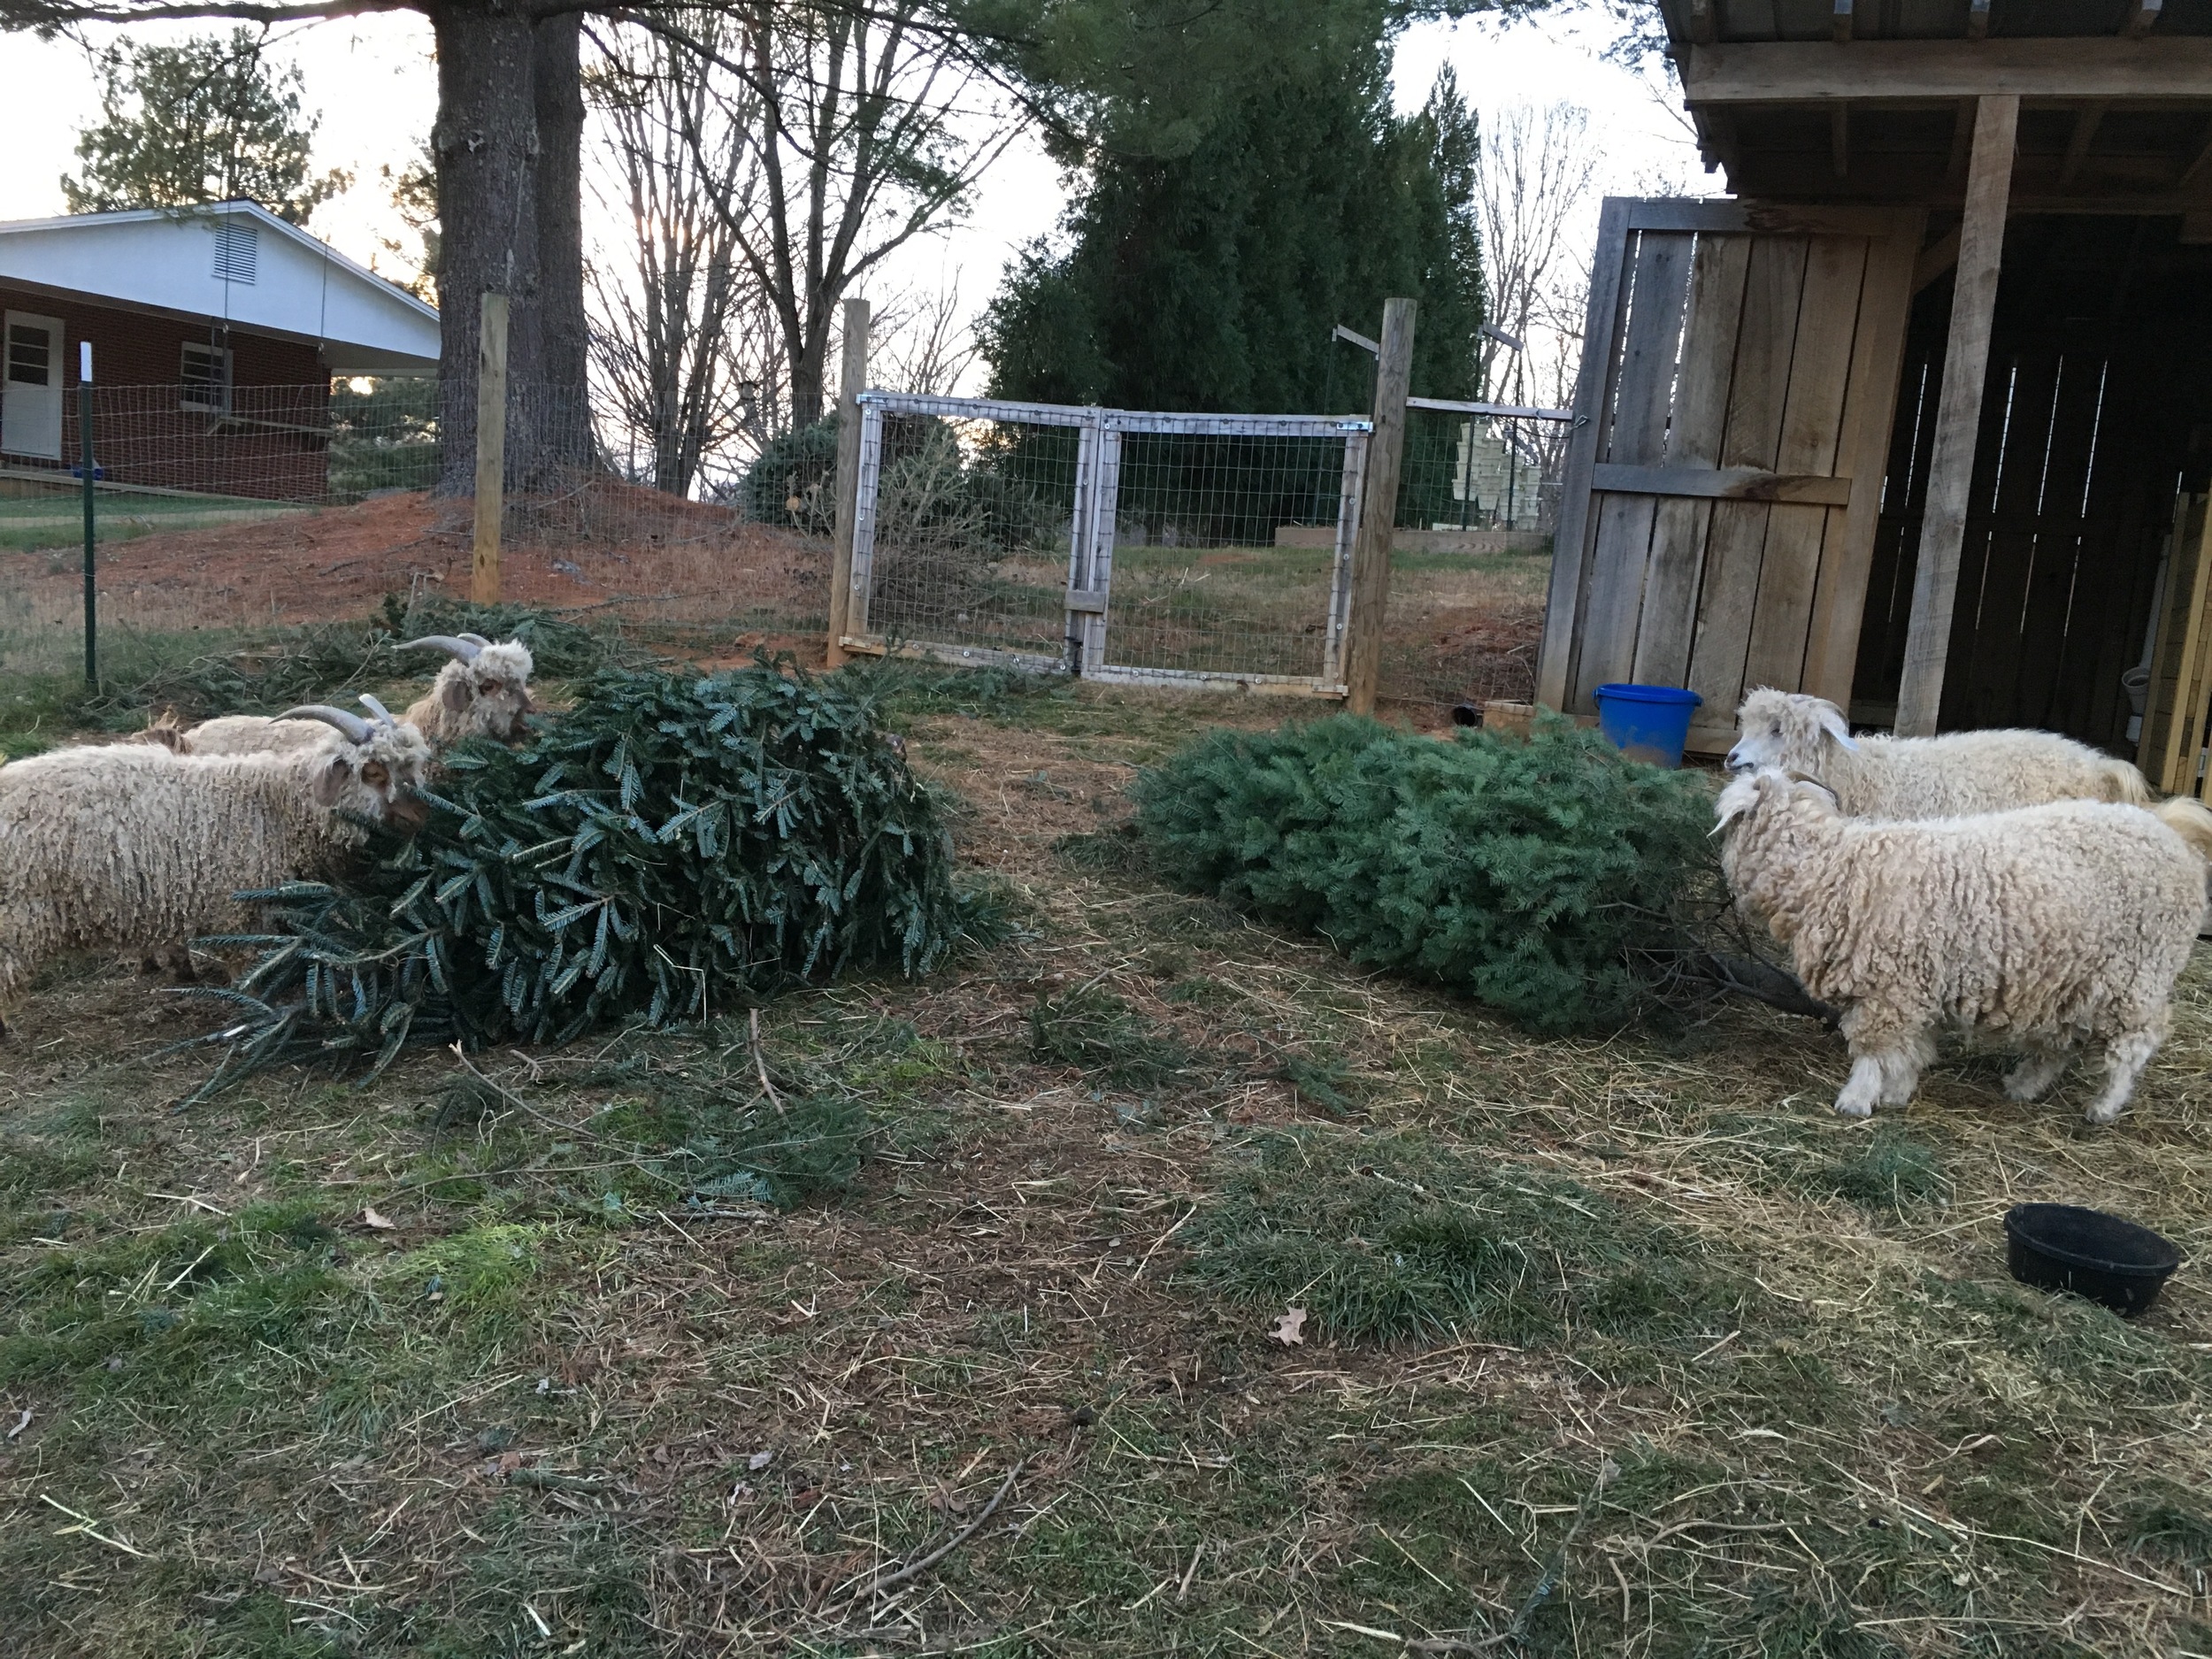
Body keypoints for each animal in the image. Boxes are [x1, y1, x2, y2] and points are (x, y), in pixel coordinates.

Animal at [1717, 774, 2203, 1124]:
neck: (1832, 868)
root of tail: (2168, 833)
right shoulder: (1919, 983)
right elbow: (1913, 1049)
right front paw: (1897, 1093)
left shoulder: (1890, 986)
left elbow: (1875, 1050)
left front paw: (1856, 1099)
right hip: (2068, 979)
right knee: (2060, 1040)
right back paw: (2024, 1085)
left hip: (2137, 975)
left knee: (2134, 1044)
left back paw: (2104, 1106)